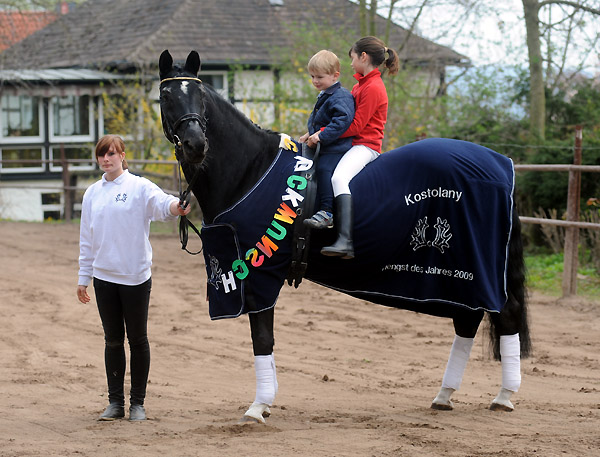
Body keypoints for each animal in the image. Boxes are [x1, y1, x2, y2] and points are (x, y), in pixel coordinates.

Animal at [159, 49, 528, 420]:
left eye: (200, 96)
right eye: (165, 97)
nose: (195, 145)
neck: (254, 169)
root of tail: (501, 165)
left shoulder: (259, 275)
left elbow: (262, 339)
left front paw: (258, 406)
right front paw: (266, 402)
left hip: (474, 270)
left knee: (505, 314)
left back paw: (504, 395)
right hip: (462, 276)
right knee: (468, 320)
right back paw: (445, 395)